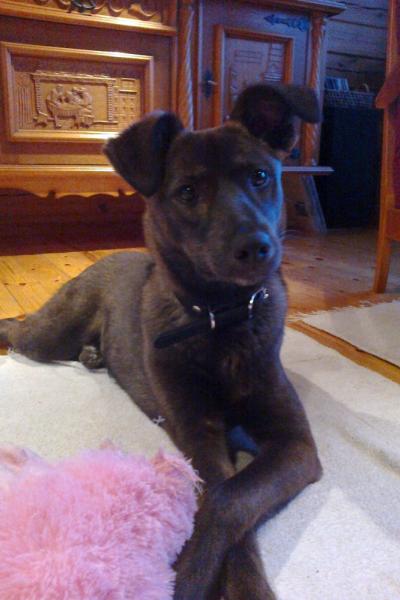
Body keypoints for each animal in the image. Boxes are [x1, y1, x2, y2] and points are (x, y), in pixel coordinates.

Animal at [0, 83, 322, 600]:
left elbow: (233, 498)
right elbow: (223, 495)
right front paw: (193, 577)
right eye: (187, 192)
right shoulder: (198, 435)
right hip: (47, 335)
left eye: (259, 177)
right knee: (18, 328)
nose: (256, 247)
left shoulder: (295, 442)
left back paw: (94, 355)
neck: (222, 320)